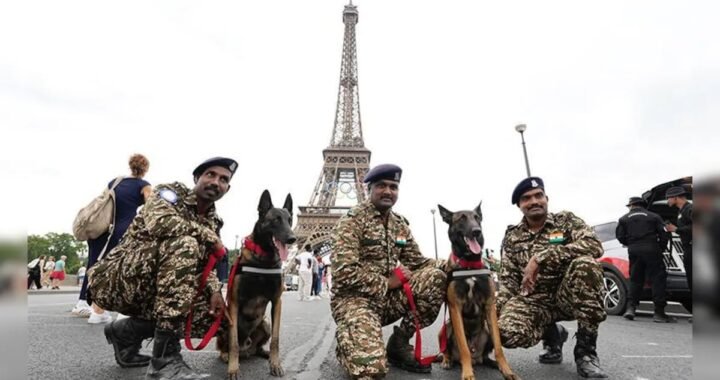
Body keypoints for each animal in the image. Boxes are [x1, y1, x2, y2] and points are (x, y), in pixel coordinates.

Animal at [219, 191, 298, 378]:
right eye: (276, 219)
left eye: (290, 219)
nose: (292, 238)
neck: (264, 259)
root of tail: (246, 350)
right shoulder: (234, 302)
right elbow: (233, 342)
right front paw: (233, 368)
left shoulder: (277, 302)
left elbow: (276, 339)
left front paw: (275, 364)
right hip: (224, 320)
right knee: (227, 346)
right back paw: (226, 355)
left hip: (265, 322)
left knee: (258, 348)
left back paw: (265, 354)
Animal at [436, 203, 520, 380]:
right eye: (461, 219)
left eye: (477, 218)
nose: (476, 231)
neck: (469, 265)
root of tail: (477, 358)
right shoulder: (455, 308)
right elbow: (463, 347)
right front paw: (467, 374)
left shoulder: (489, 306)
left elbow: (499, 347)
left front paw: (507, 370)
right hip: (445, 328)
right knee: (448, 350)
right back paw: (447, 360)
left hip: (486, 329)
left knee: (486, 356)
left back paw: (492, 363)